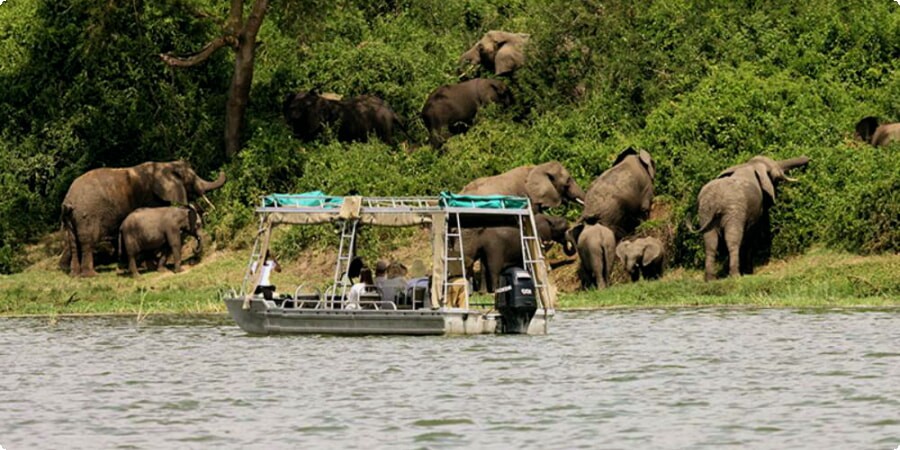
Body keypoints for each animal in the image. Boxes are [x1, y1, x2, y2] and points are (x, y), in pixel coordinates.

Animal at [60, 160, 227, 276]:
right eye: (192, 180)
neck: (164, 165)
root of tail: (68, 200)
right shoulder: (152, 197)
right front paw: (149, 264)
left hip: (72, 217)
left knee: (73, 241)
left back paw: (73, 273)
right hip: (87, 215)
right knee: (88, 241)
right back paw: (91, 275)